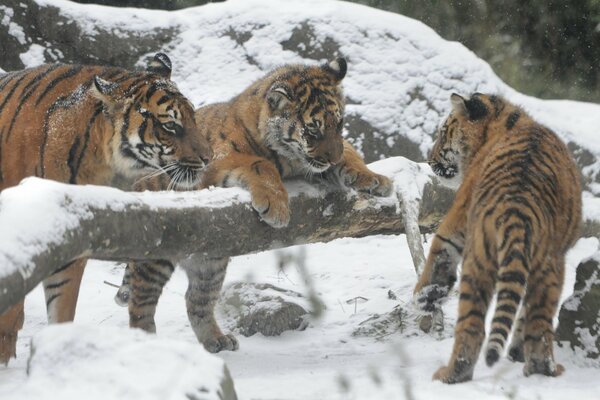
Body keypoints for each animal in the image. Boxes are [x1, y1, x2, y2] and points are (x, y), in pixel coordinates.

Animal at [119, 58, 396, 354]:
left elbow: (351, 153)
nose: (331, 160)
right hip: (155, 258)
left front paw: (375, 179)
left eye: (339, 123)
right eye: (313, 130)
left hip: (211, 264)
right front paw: (277, 208)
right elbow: (260, 164)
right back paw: (147, 342)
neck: (290, 158)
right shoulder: (219, 159)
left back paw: (217, 340)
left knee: (196, 300)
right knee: (141, 305)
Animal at [412, 92, 580, 382]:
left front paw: (424, 296)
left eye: (444, 133)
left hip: (479, 261)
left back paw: (452, 374)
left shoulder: (457, 217)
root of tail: (518, 207)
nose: (429, 160)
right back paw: (543, 370)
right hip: (549, 268)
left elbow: (440, 249)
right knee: (539, 327)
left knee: (473, 327)